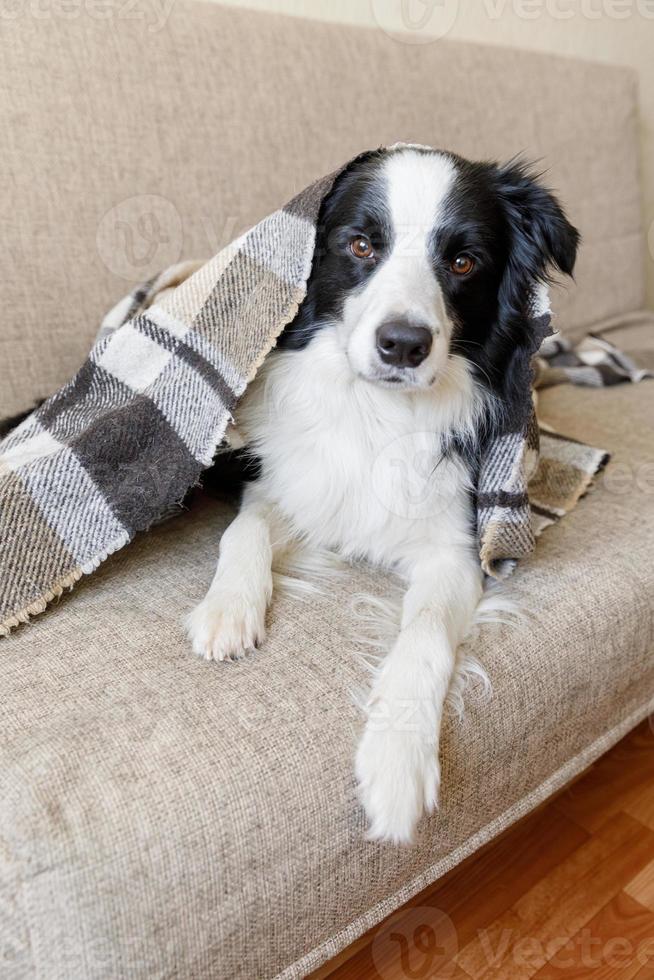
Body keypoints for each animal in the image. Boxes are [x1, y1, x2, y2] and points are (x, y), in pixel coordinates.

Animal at [184, 145, 580, 844]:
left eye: (463, 261)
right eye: (362, 244)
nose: (402, 344)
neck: (380, 412)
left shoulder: (455, 548)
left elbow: (424, 632)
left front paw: (396, 763)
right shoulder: (299, 486)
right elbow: (245, 528)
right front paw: (228, 609)